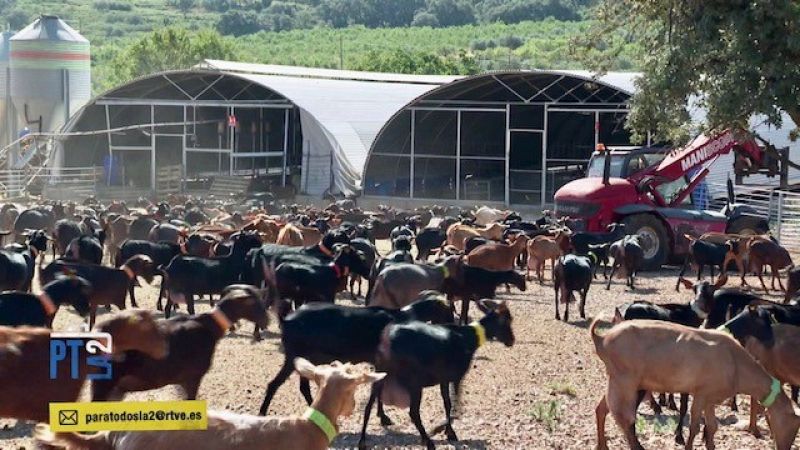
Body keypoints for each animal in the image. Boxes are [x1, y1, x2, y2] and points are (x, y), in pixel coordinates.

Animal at [260, 292, 454, 414]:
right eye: (449, 310)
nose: (452, 325)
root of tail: (286, 319)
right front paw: (383, 417)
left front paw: (382, 416)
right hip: (294, 356)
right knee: (274, 384)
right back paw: (262, 413)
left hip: (305, 358)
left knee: (302, 387)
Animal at [360, 298, 516, 450]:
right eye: (506, 320)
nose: (511, 341)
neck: (469, 338)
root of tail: (387, 342)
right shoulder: (457, 376)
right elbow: (455, 405)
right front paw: (444, 431)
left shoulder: (444, 379)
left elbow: (447, 403)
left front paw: (447, 430)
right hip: (414, 381)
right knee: (413, 412)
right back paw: (428, 441)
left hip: (381, 373)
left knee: (368, 406)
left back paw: (363, 441)